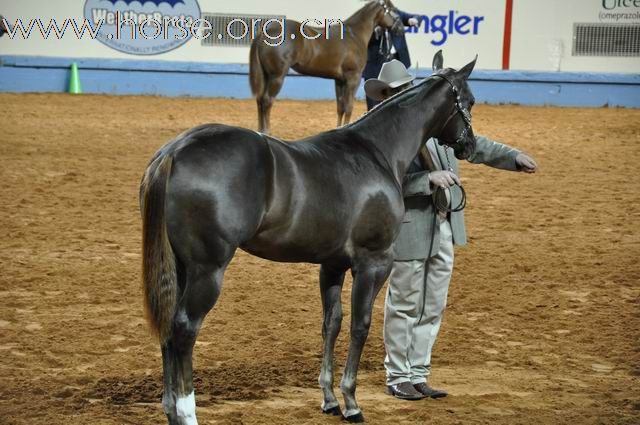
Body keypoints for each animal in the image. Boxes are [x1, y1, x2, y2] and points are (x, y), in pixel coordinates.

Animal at [142, 51, 478, 422]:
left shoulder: (332, 265)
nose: (470, 146)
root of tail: (175, 150)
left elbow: (331, 324)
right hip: (207, 270)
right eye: (470, 102)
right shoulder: (374, 262)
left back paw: (170, 407)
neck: (376, 152)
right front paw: (351, 403)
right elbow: (360, 324)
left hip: (181, 266)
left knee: (168, 327)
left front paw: (330, 399)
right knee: (184, 328)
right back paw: (187, 411)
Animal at [249, 0, 400, 133]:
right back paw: (267, 131)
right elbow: (349, 107)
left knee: (260, 100)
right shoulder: (353, 78)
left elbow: (340, 107)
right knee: (267, 101)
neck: (355, 35)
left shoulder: (339, 80)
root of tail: (265, 31)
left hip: (266, 75)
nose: (399, 28)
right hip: (277, 76)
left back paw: (260, 130)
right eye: (392, 10)